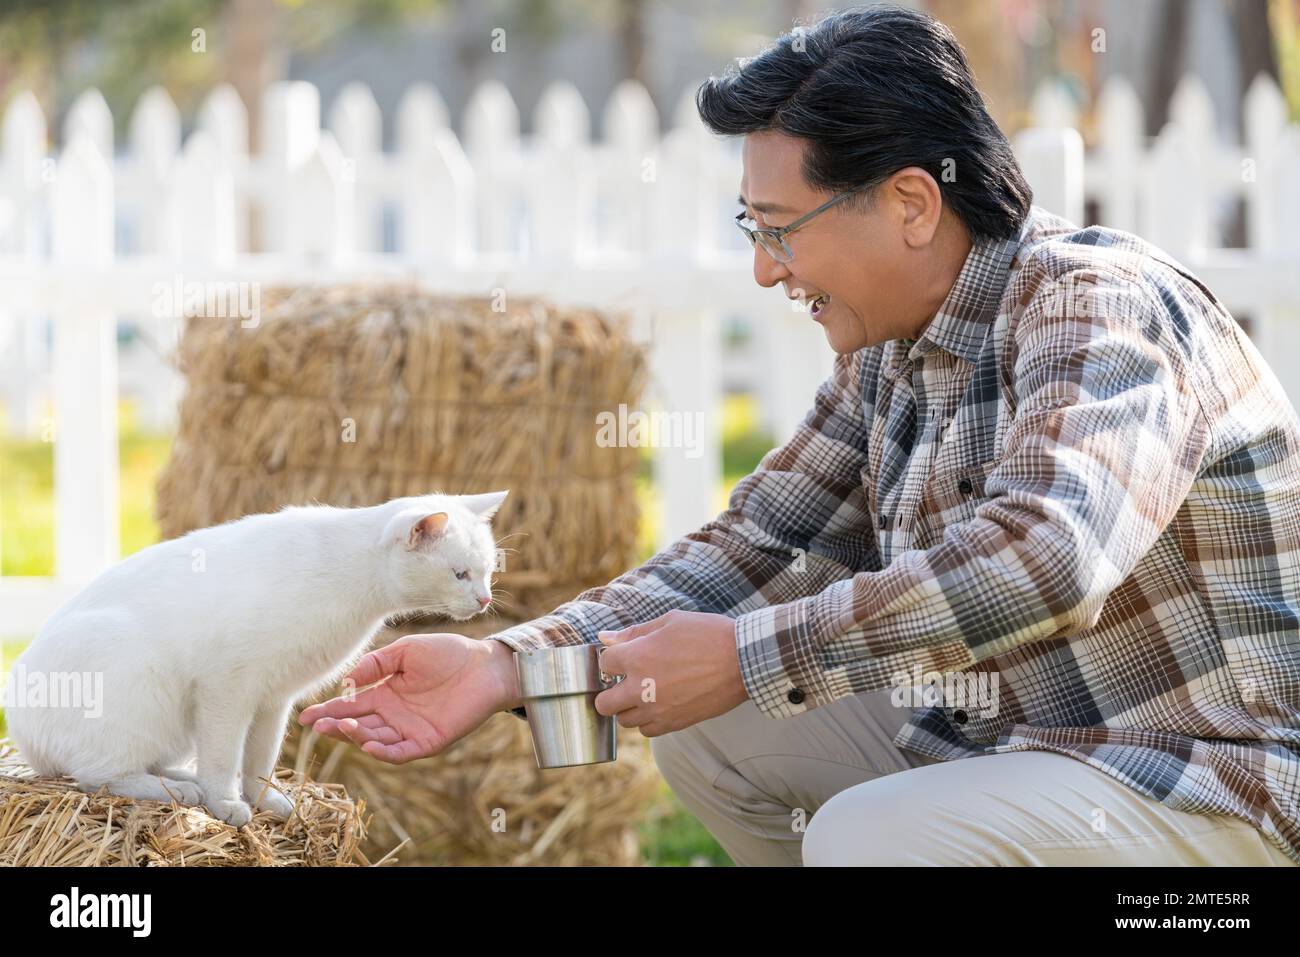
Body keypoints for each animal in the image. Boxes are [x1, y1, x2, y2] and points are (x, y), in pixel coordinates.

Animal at [2, 488, 504, 826]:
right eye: (460, 574)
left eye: (487, 571)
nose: (483, 600)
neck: (350, 577)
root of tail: (22, 736)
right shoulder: (227, 689)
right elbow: (225, 756)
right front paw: (226, 803)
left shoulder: (273, 699)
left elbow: (260, 759)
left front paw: (263, 800)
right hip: (134, 682)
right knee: (98, 774)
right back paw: (178, 791)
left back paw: (182, 779)